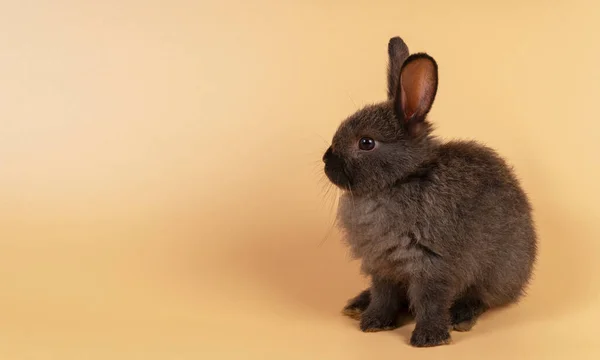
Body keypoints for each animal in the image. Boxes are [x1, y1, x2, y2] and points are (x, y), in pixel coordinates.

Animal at [324, 36, 540, 346]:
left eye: (366, 142)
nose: (326, 162)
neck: (399, 181)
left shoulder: (432, 265)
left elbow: (430, 302)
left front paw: (429, 338)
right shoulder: (382, 266)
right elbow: (383, 296)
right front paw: (373, 323)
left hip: (500, 270)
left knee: (481, 297)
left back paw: (461, 317)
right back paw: (357, 305)